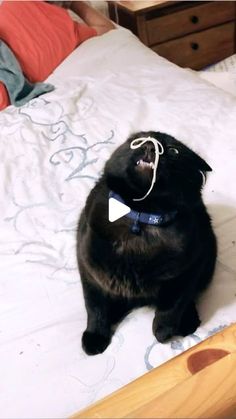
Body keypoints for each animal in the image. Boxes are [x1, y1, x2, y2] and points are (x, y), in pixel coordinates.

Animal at [76, 131, 217, 354]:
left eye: (173, 151)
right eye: (138, 141)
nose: (151, 147)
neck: (142, 216)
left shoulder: (190, 267)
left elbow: (173, 304)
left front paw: (163, 332)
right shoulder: (89, 270)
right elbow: (95, 307)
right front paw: (95, 338)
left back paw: (188, 322)